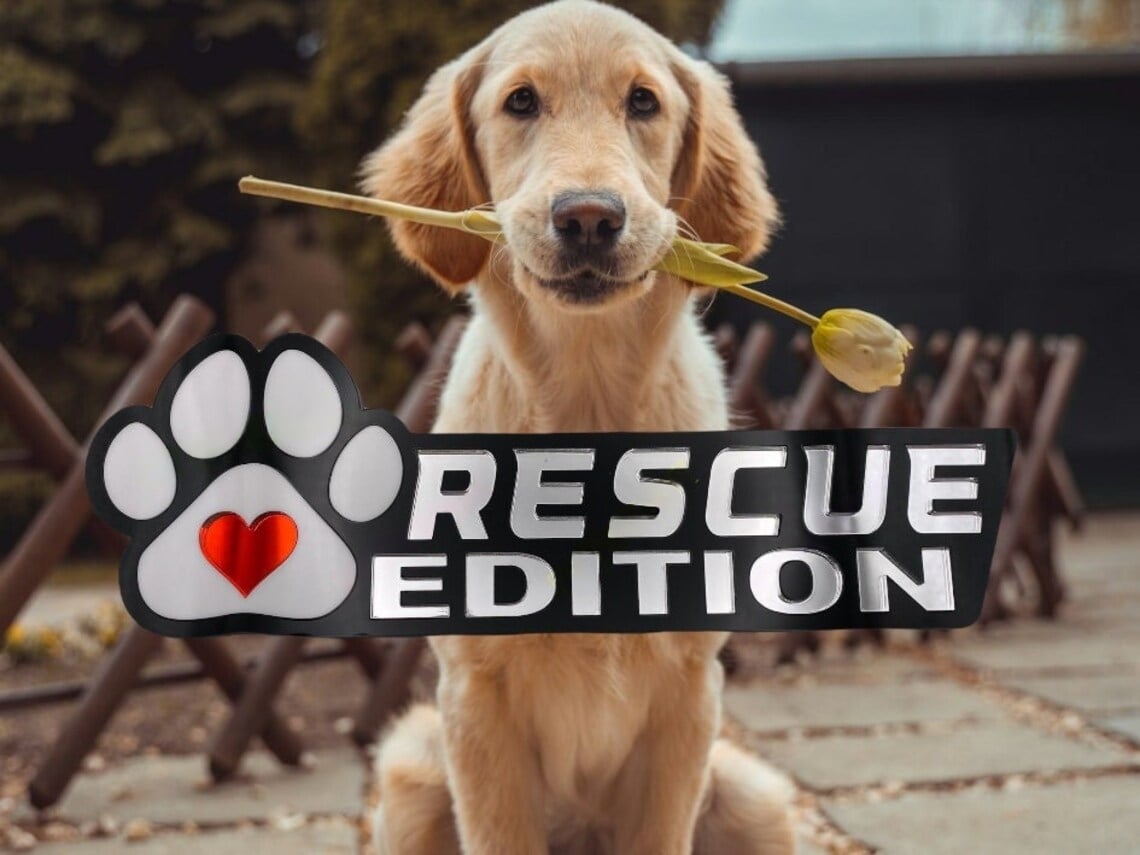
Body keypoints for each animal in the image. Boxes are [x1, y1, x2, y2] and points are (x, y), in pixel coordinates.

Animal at [364, 1, 793, 855]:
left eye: (644, 102)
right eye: (522, 102)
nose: (589, 217)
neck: (587, 409)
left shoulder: (689, 695)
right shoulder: (474, 694)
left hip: (756, 795)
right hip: (411, 767)